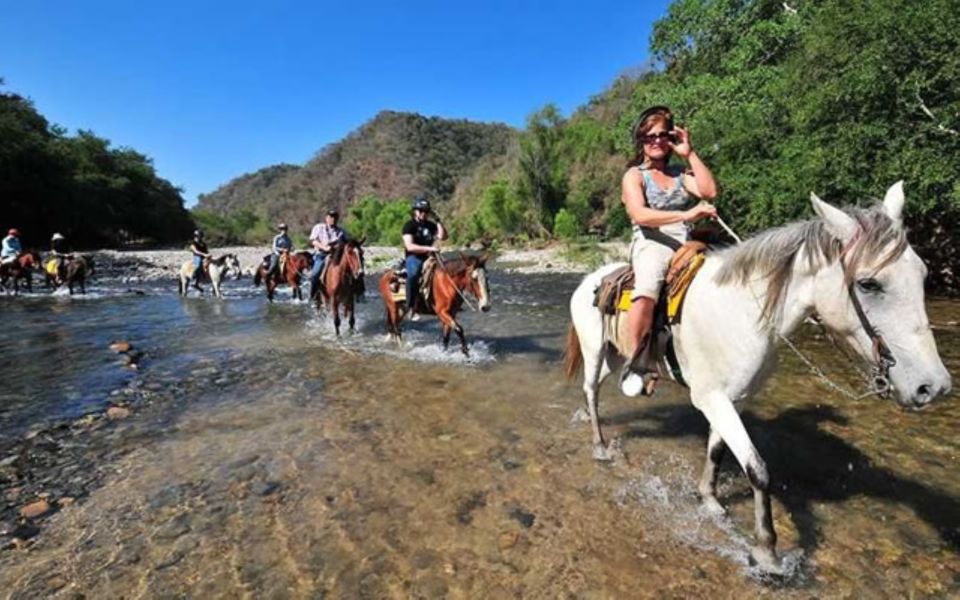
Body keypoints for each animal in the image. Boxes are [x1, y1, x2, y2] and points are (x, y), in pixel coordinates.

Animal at [568, 182, 948, 572]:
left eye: (922, 274)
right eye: (869, 283)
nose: (933, 387)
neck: (743, 313)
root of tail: (590, 279)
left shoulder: (733, 398)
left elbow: (717, 451)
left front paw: (710, 501)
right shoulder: (711, 398)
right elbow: (758, 468)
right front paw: (767, 551)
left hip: (615, 355)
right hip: (594, 351)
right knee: (591, 391)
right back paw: (600, 447)